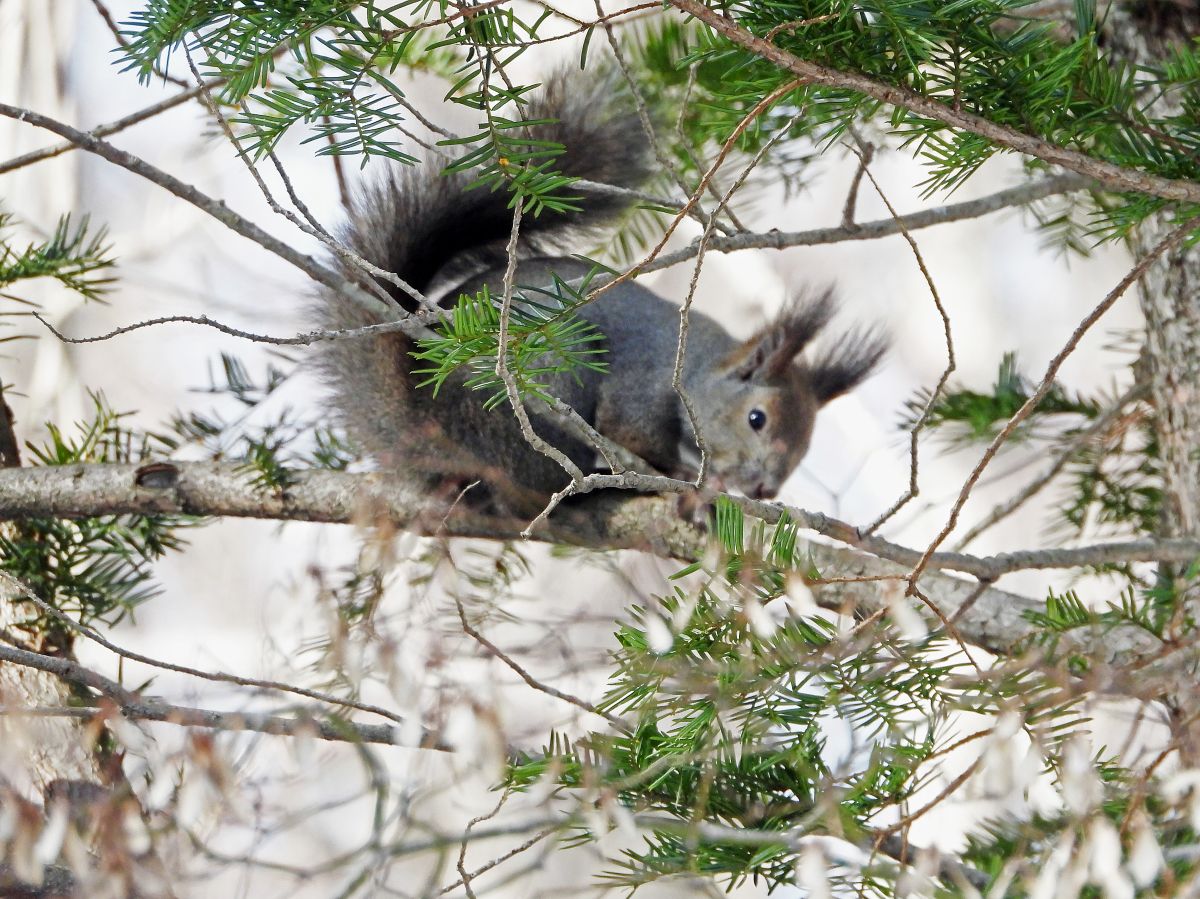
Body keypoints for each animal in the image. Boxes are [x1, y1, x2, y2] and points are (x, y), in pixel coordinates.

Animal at [315, 67, 885, 518]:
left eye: (807, 446)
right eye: (757, 419)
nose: (766, 489)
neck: (695, 367)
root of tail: (421, 424)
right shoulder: (642, 388)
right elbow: (635, 438)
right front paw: (690, 483)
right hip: (539, 392)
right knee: (531, 489)